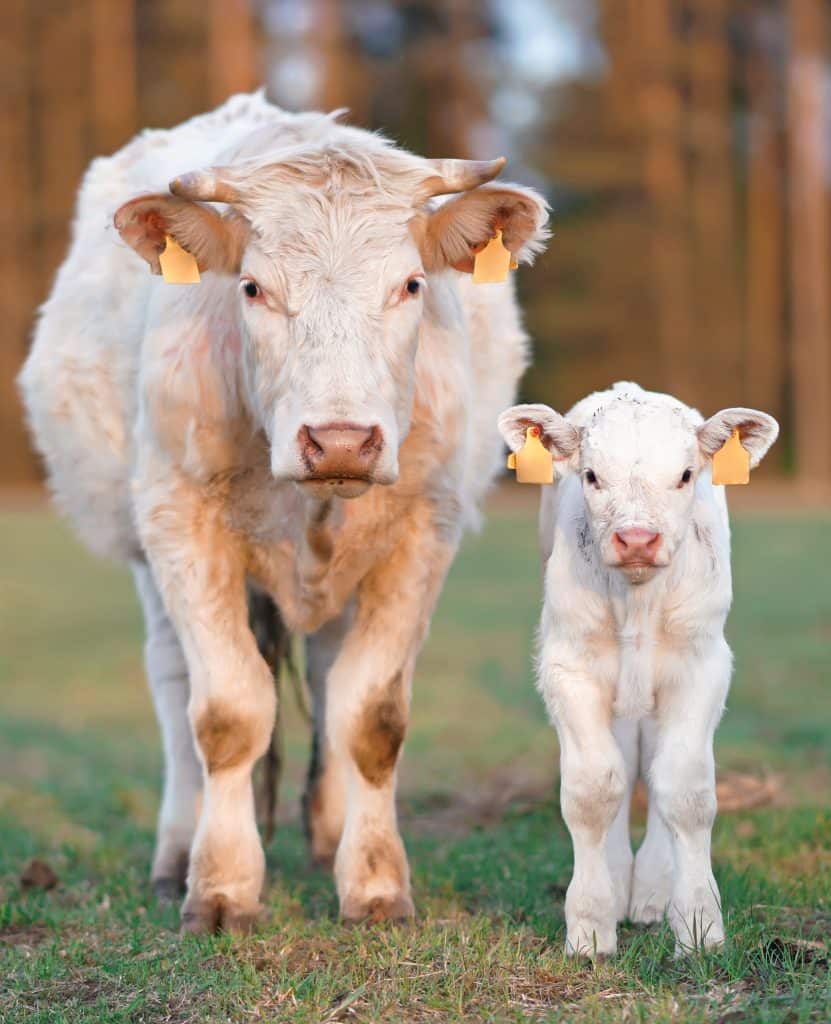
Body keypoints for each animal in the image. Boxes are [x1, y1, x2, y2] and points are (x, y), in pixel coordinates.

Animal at [19, 92, 548, 933]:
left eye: (411, 285)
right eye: (252, 289)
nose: (341, 441)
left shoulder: (422, 530)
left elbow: (371, 718)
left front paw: (372, 885)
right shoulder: (178, 520)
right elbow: (228, 713)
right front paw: (220, 888)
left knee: (332, 679)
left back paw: (328, 833)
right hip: (145, 549)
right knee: (174, 682)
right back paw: (176, 852)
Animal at [499, 380, 777, 954]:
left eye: (686, 474)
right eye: (591, 475)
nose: (636, 539)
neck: (637, 602)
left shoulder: (701, 664)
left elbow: (685, 788)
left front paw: (698, 926)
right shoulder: (568, 668)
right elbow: (592, 789)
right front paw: (589, 926)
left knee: (651, 758)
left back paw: (650, 890)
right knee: (623, 762)